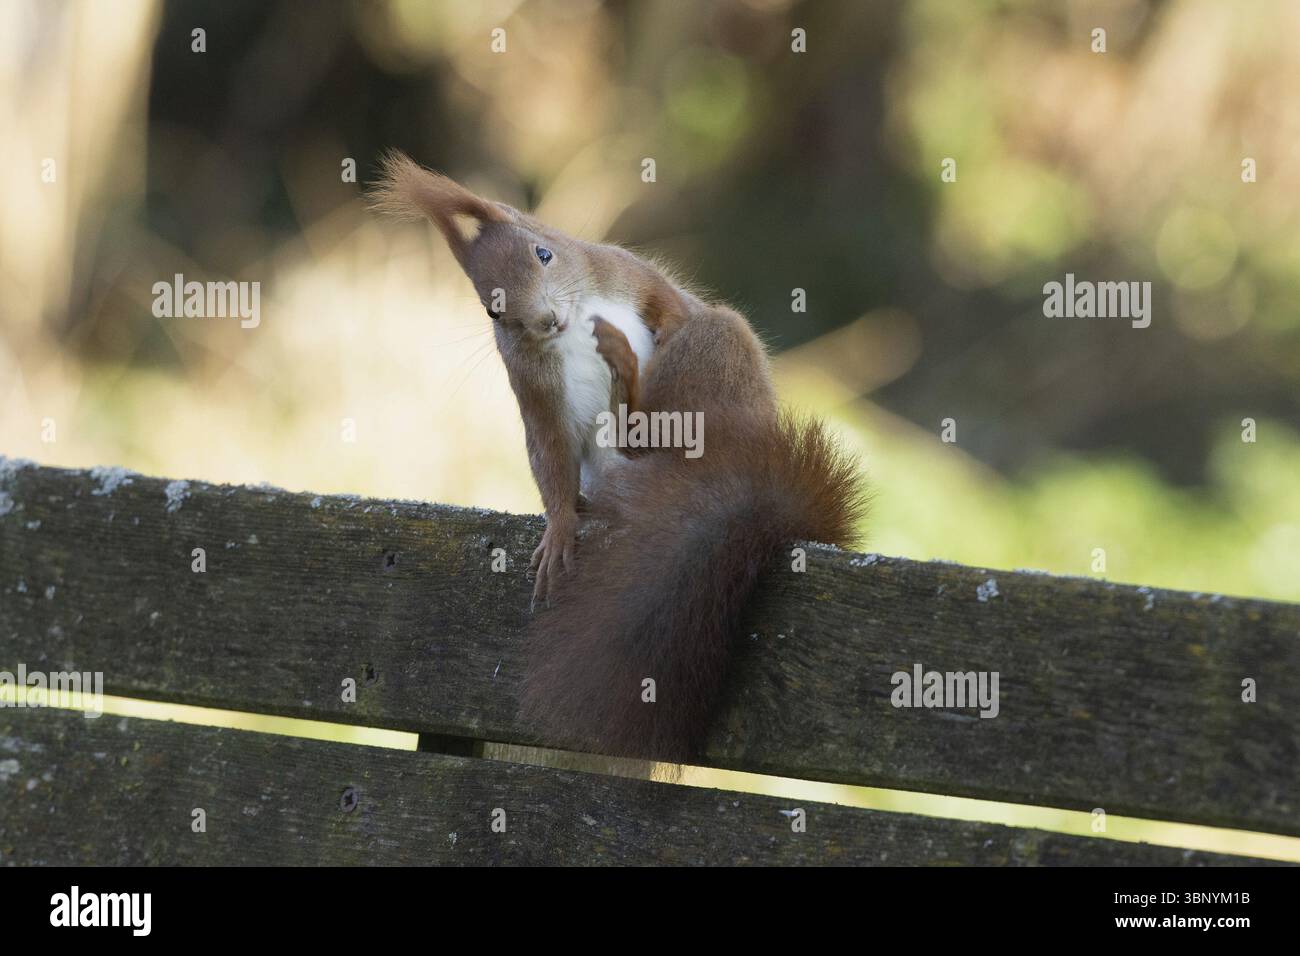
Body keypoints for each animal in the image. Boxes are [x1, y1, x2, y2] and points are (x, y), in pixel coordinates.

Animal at [372, 152, 867, 761]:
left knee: (680, 381)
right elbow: (550, 455)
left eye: (544, 252)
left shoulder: (623, 270)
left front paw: (661, 324)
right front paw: (561, 527)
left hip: (717, 362)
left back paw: (628, 372)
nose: (546, 321)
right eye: (492, 309)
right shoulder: (535, 393)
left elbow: (665, 299)